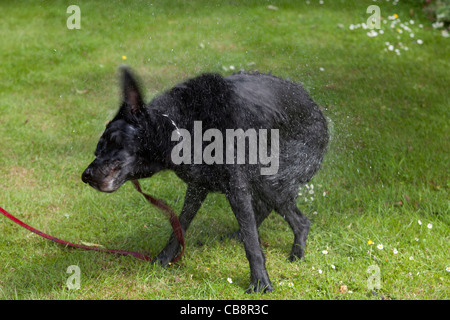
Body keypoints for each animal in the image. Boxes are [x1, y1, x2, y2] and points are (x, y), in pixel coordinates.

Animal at [81, 67, 326, 292]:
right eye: (97, 149)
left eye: (113, 142)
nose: (85, 176)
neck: (181, 126)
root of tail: (316, 108)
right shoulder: (197, 186)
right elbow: (179, 226)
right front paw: (163, 259)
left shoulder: (235, 186)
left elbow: (252, 244)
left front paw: (260, 281)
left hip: (269, 176)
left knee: (299, 220)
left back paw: (297, 252)